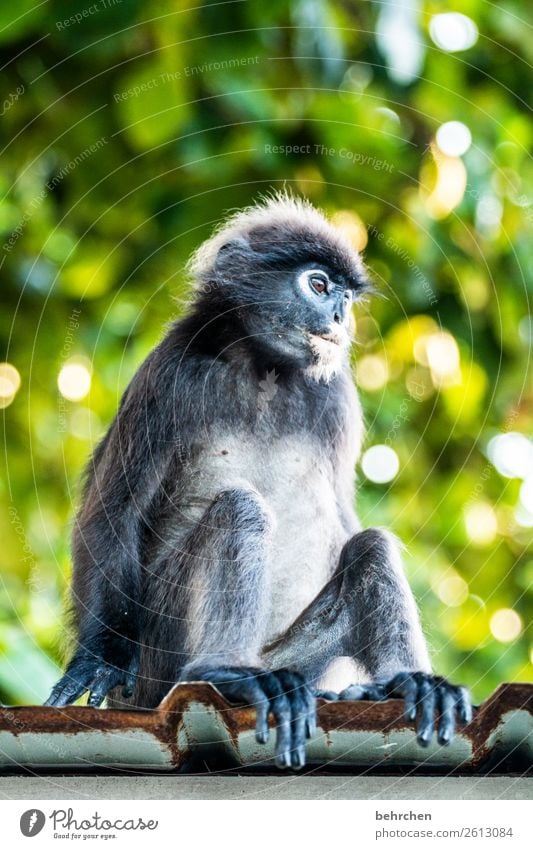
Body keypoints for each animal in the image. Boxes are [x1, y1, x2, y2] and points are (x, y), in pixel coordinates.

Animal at [44, 192, 470, 768]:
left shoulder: (335, 394)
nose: (340, 316)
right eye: (318, 285)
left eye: (346, 296)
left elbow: (346, 520)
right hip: (162, 658)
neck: (265, 368)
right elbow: (112, 515)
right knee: (238, 509)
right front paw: (99, 662)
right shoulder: (167, 375)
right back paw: (228, 675)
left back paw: (407, 684)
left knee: (370, 547)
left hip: (290, 657)